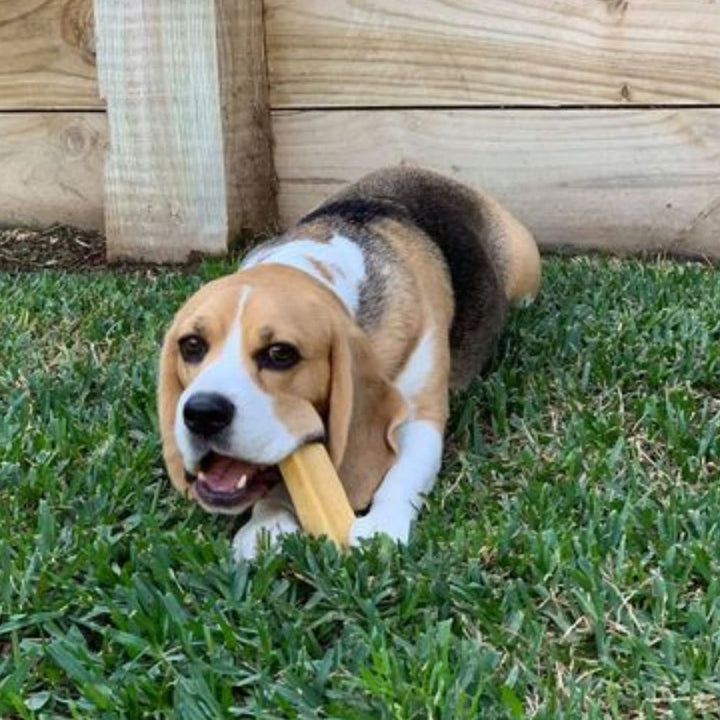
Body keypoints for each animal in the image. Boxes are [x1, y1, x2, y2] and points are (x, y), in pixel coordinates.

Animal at [158, 166, 540, 560]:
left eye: (280, 354)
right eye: (191, 345)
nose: (202, 414)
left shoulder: (421, 417)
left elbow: (403, 474)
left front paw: (382, 528)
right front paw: (267, 524)